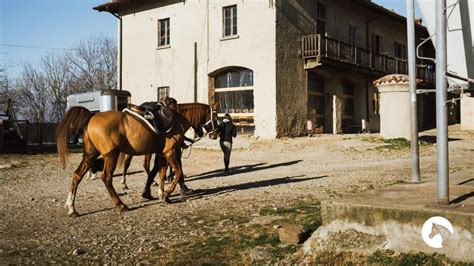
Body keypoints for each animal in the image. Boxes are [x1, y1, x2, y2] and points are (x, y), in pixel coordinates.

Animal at [58, 104, 191, 216]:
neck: (176, 120)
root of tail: (92, 116)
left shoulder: (162, 154)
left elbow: (162, 174)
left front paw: (162, 195)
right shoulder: (170, 152)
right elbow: (178, 172)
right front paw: (167, 194)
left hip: (90, 156)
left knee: (77, 175)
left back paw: (72, 208)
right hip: (111, 156)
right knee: (106, 177)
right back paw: (121, 205)